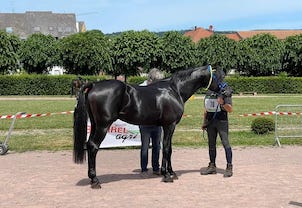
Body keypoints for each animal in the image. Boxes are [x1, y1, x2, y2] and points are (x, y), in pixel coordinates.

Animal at [74, 65, 225, 188]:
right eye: (219, 76)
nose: (227, 91)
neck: (175, 90)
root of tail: (94, 85)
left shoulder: (168, 126)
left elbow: (169, 149)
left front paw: (172, 172)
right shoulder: (169, 125)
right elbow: (166, 148)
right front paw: (166, 175)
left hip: (95, 124)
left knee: (89, 144)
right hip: (103, 126)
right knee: (93, 146)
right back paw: (95, 180)